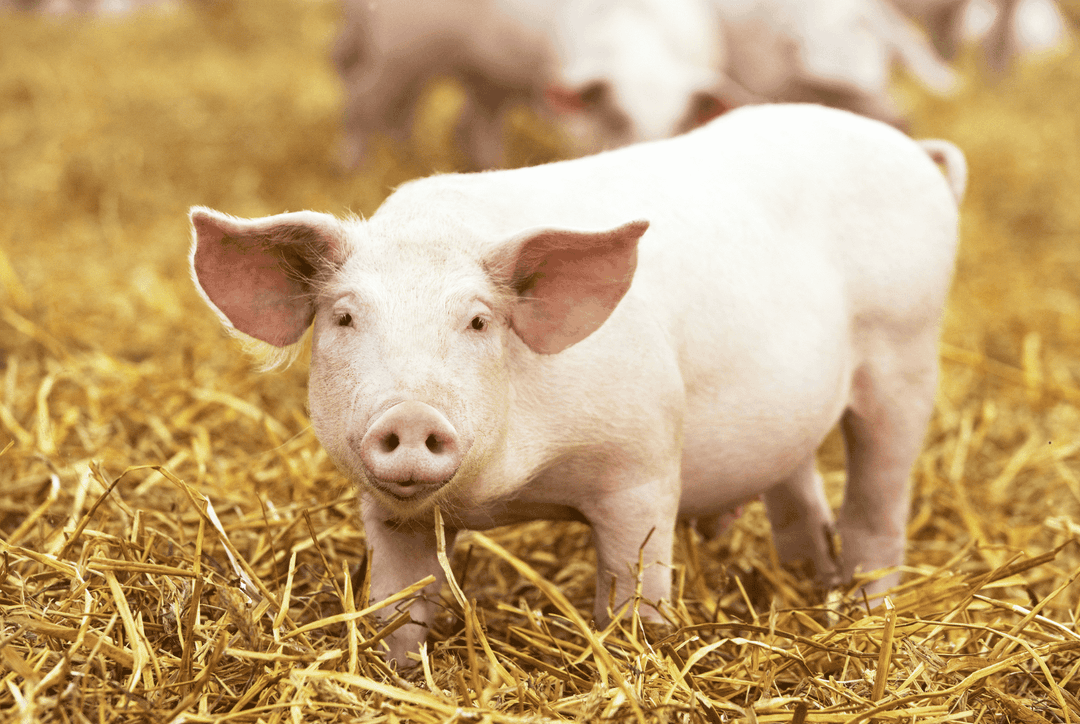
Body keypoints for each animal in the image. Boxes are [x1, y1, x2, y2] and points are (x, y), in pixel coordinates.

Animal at [190, 103, 965, 665]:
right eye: (345, 317)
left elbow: (633, 591)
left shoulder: (642, 467)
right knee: (798, 488)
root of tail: (915, 153)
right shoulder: (388, 512)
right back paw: (811, 581)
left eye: (478, 320)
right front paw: (398, 671)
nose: (410, 414)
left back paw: (867, 611)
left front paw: (634, 658)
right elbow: (400, 605)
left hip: (907, 354)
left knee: (878, 504)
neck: (507, 494)